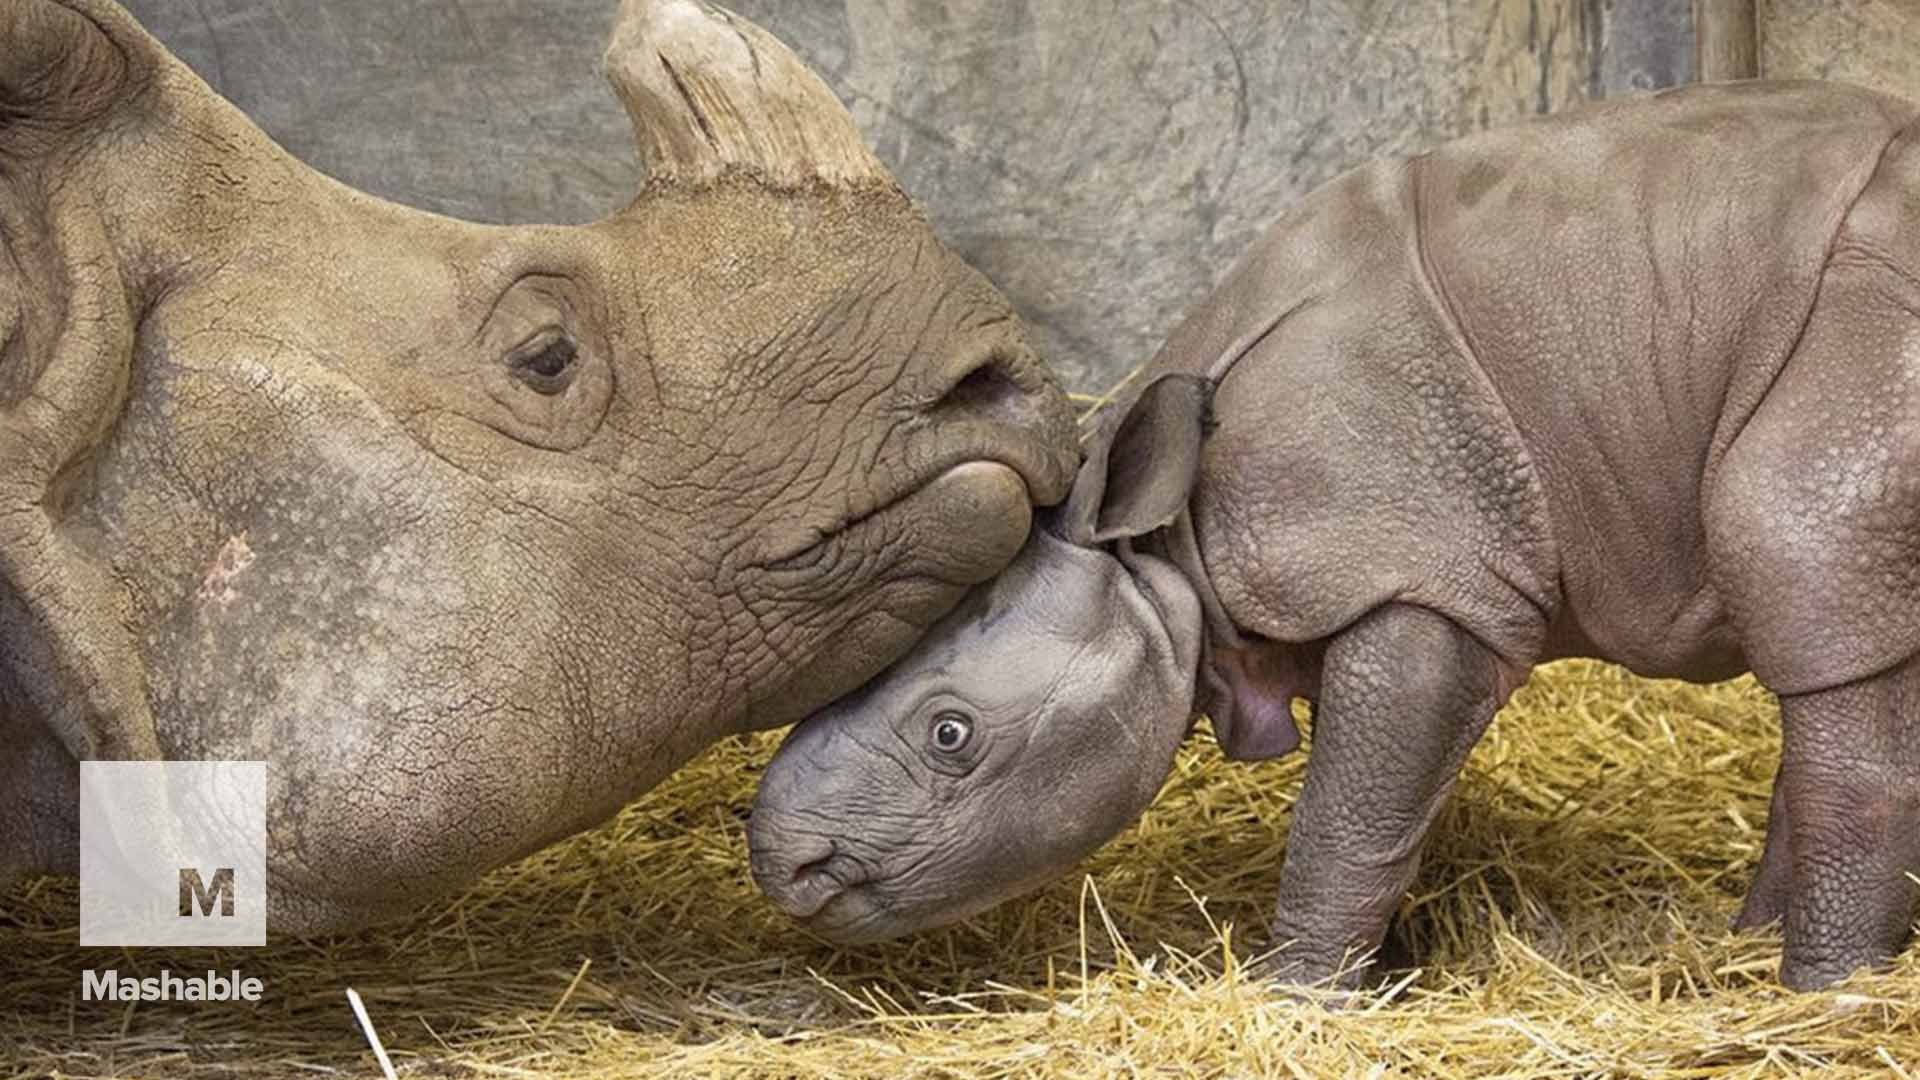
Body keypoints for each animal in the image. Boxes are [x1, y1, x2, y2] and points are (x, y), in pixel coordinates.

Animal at [749, 80, 1920, 991]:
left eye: (951, 735)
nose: (784, 864)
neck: (1162, 543)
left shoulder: (1418, 572)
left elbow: (1348, 817)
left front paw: (1298, 994)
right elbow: (1388, 806)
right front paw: (1379, 963)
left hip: (1866, 335)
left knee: (1807, 570)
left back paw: (1820, 993)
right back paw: (1760, 953)